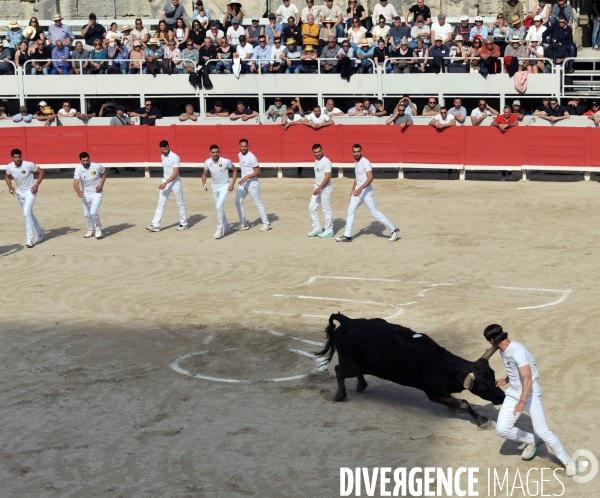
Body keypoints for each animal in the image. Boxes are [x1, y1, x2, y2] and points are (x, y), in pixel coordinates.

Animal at [316, 316, 504, 428]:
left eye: (494, 376)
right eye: (483, 387)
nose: (501, 397)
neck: (440, 365)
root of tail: (347, 321)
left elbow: (457, 402)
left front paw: (453, 408)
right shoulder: (434, 394)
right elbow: (464, 402)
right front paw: (482, 421)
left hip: (357, 364)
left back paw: (361, 385)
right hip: (350, 364)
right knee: (338, 371)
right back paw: (339, 396)